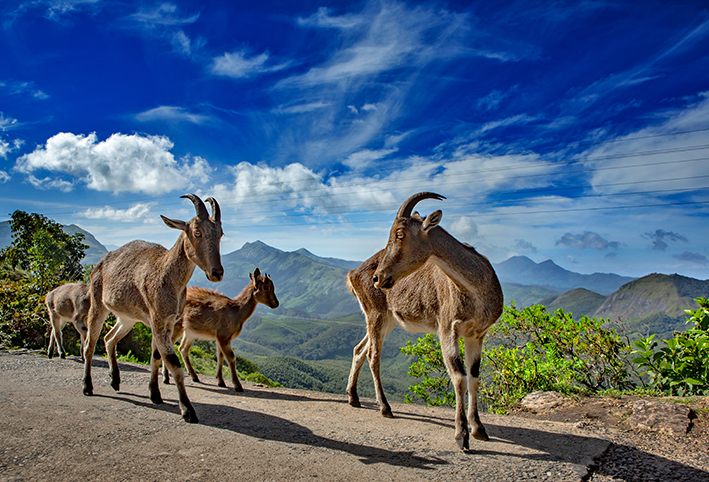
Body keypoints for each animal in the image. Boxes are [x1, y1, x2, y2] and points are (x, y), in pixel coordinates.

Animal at [344, 193, 504, 452]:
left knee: (359, 349)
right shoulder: (447, 328)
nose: (379, 277)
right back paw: (385, 408)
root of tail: (353, 274)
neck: (476, 291)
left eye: (400, 233)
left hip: (387, 320)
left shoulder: (477, 334)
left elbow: (474, 377)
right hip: (376, 314)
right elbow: (459, 377)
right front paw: (461, 435)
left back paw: (353, 397)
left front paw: (479, 429)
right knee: (373, 356)